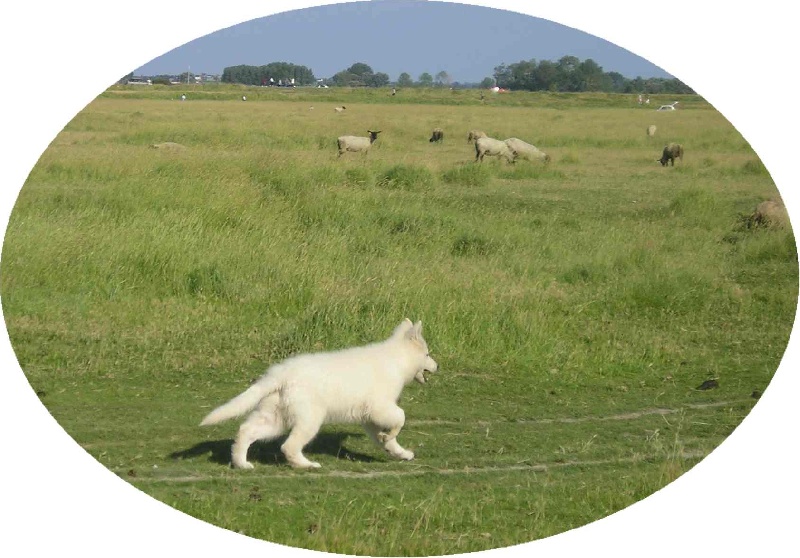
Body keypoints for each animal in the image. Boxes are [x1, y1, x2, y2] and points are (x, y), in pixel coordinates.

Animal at [200, 322, 438, 470]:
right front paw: (389, 437)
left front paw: (398, 450)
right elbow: (401, 418)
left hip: (276, 417)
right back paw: (306, 465)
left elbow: (386, 437)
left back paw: (241, 463)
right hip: (310, 419)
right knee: (289, 446)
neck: (396, 360)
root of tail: (280, 373)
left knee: (246, 430)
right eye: (427, 354)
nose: (438, 366)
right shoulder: (381, 407)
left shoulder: (369, 417)